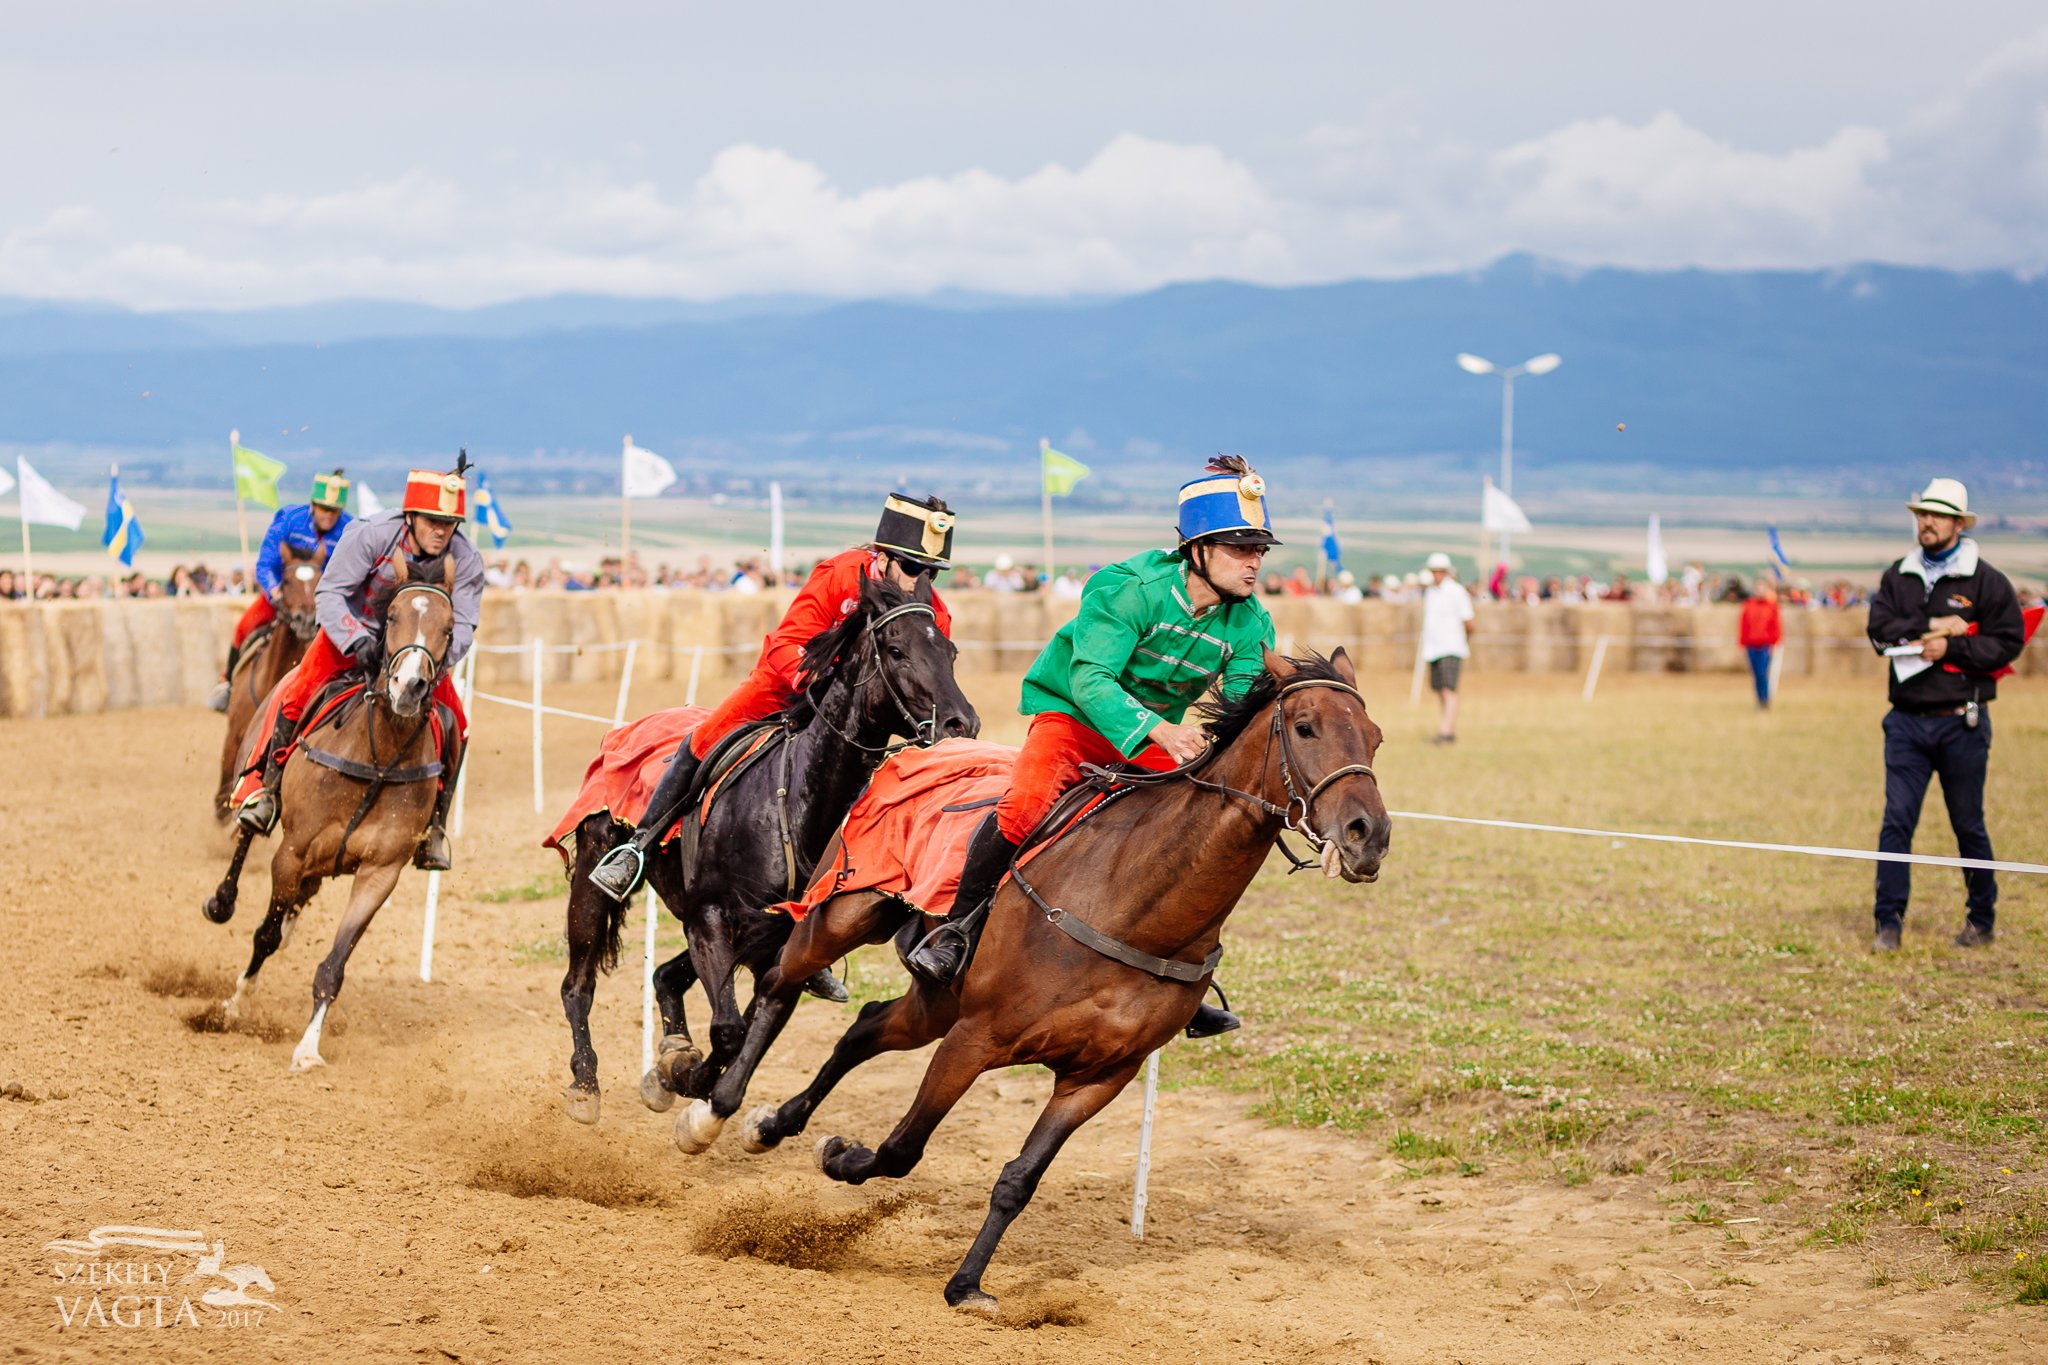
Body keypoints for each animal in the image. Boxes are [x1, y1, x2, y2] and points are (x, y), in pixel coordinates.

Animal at [557, 573, 978, 1137]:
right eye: (896, 650)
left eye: (949, 651)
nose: (962, 724)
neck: (795, 802)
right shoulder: (710, 921)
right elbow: (730, 1031)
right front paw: (685, 1077)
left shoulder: (776, 950)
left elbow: (750, 1030)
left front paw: (682, 1075)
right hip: (593, 877)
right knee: (577, 985)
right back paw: (585, 1085)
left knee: (665, 975)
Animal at [729, 650, 1384, 1309]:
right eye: (1305, 728)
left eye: (1375, 738)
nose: (1369, 835)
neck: (1133, 901)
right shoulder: (974, 1039)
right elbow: (901, 1148)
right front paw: (841, 1158)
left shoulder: (1099, 1076)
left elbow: (1019, 1179)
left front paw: (966, 1283)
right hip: (842, 918)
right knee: (779, 983)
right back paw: (717, 1101)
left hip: (935, 1003)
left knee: (863, 1028)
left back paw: (775, 1121)